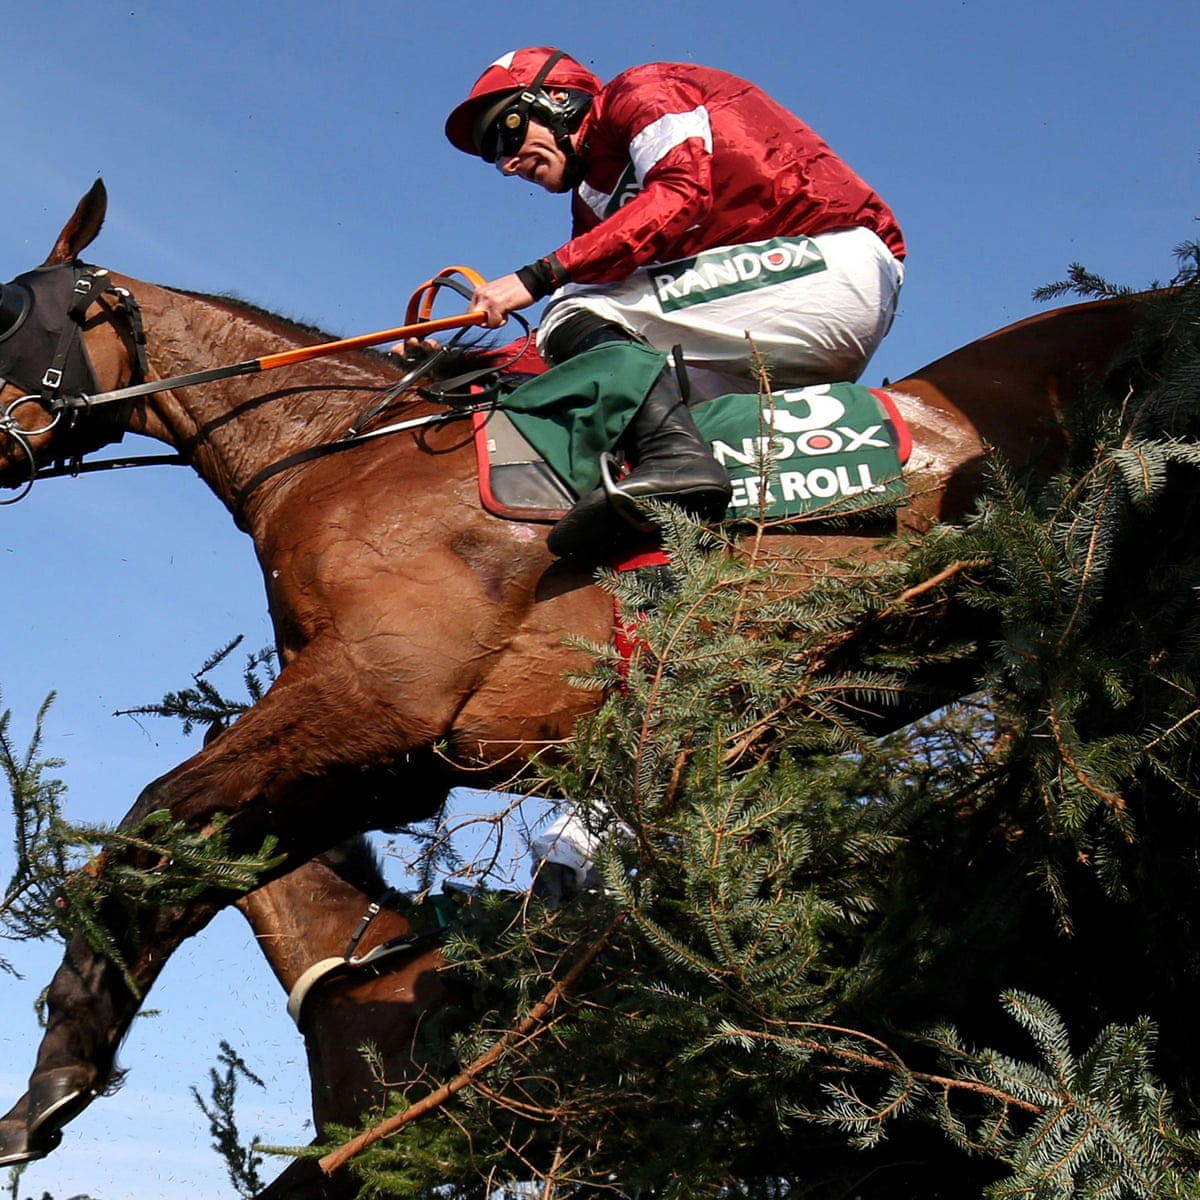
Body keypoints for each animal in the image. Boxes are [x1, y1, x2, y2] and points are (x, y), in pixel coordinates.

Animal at [0, 179, 1149, 1174]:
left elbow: (149, 826)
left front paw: (50, 1078)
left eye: (14, 315)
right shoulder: (396, 755)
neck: (341, 453)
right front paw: (56, 1081)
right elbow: (188, 862)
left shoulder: (373, 696)